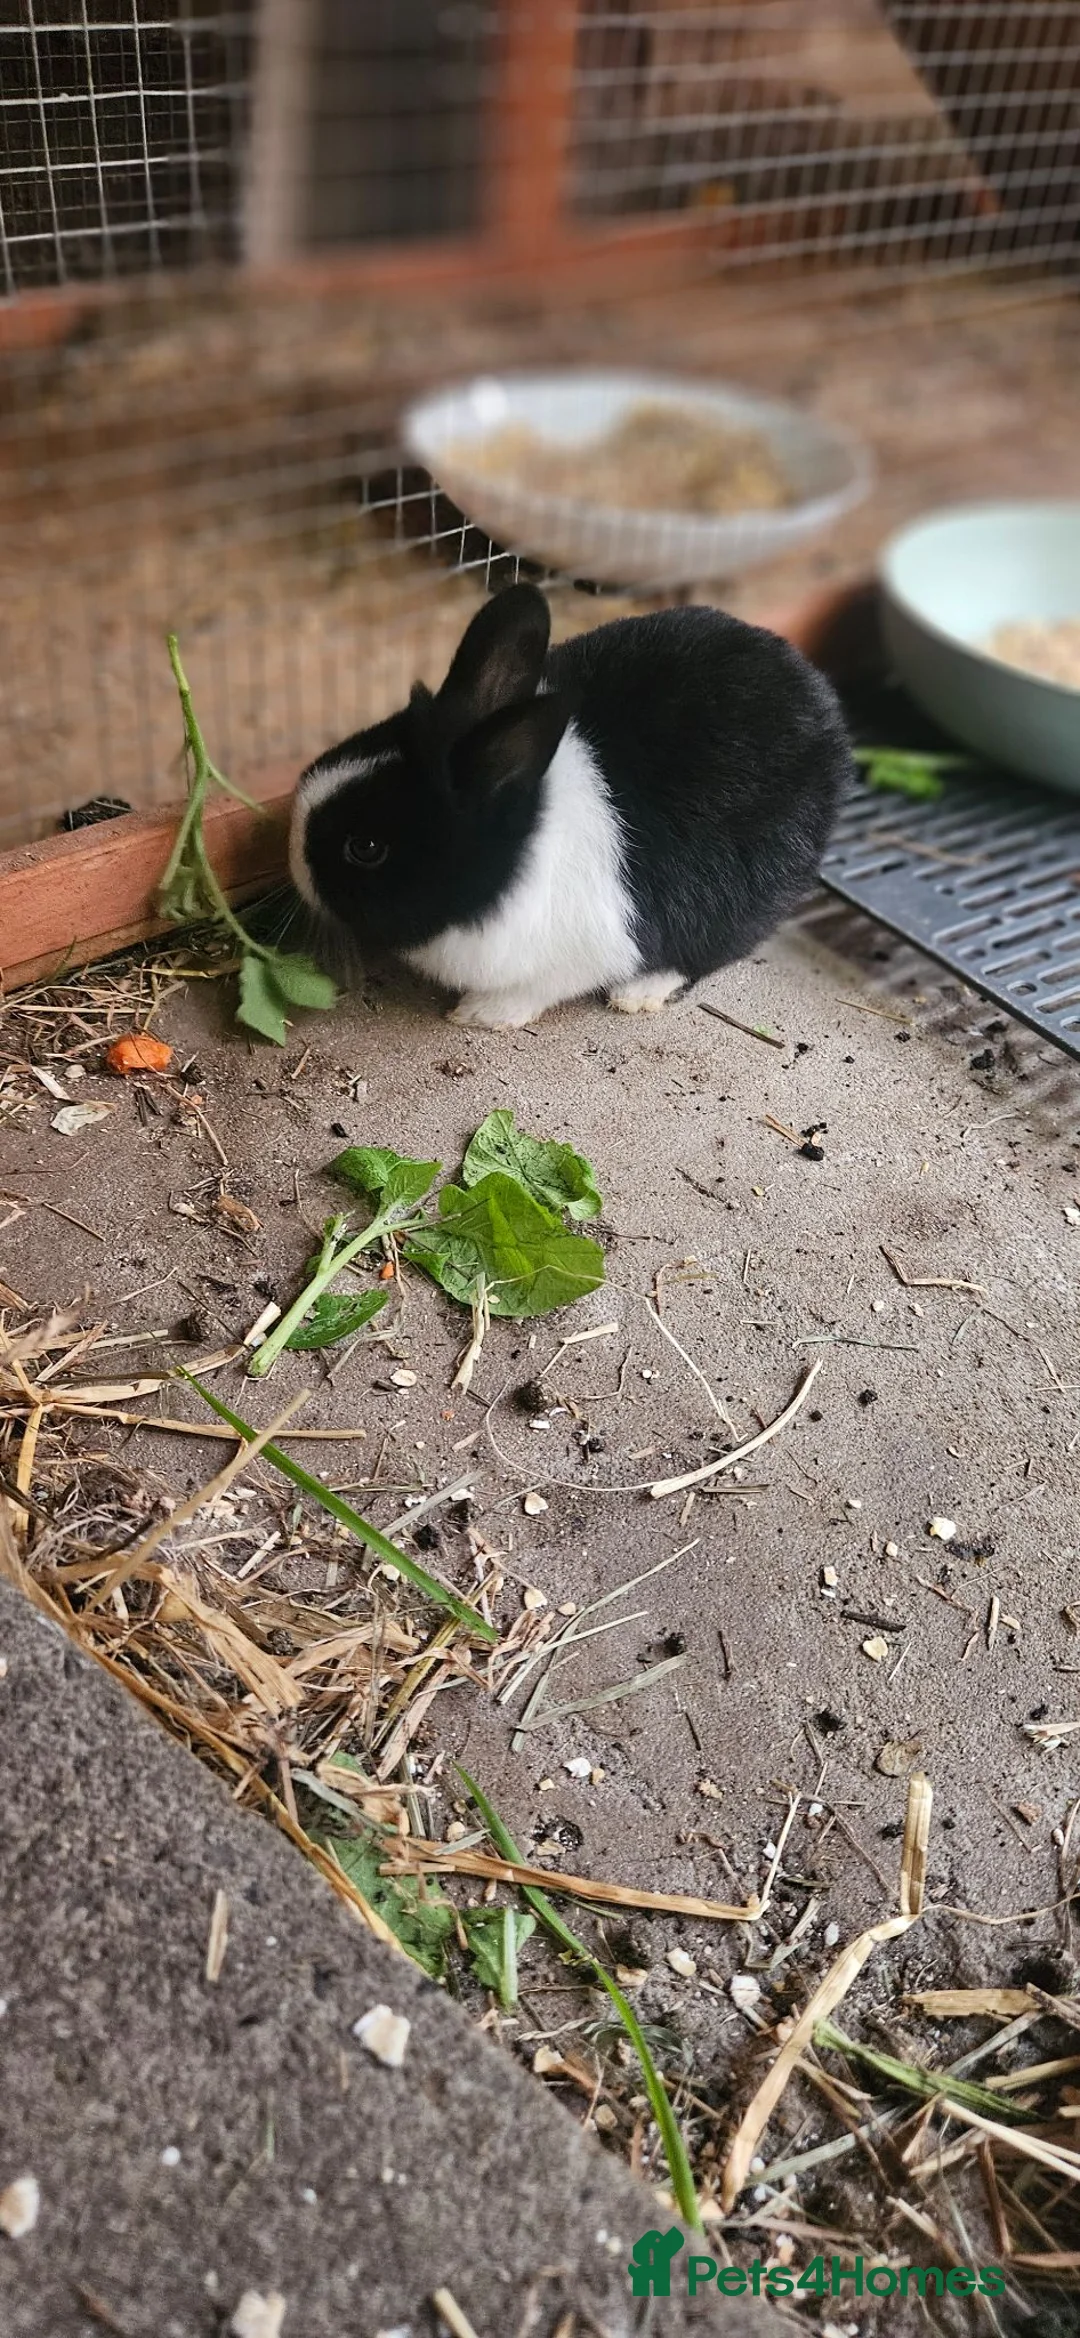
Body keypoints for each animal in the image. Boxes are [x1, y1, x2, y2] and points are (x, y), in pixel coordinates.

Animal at [289, 581, 852, 1028]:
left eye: (366, 847)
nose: (293, 858)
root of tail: (824, 703)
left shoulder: (583, 952)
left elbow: (538, 988)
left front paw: (478, 1014)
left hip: (751, 887)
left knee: (721, 945)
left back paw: (638, 993)